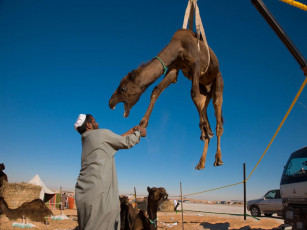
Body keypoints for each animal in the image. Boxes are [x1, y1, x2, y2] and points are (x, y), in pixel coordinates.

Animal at [110, 28, 224, 169]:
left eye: (123, 89)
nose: (110, 102)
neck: (179, 46)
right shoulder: (174, 68)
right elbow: (156, 90)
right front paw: (142, 124)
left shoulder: (196, 66)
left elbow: (193, 93)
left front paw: (205, 132)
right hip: (205, 91)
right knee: (204, 108)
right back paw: (201, 162)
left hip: (218, 80)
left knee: (218, 113)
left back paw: (218, 159)